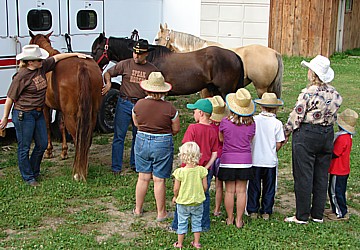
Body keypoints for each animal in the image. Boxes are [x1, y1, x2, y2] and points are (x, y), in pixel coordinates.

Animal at [29, 31, 103, 181]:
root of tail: (82, 66)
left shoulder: (45, 106)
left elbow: (47, 126)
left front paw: (49, 151)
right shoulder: (61, 110)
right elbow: (61, 126)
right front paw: (64, 152)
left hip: (72, 115)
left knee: (76, 137)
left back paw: (78, 173)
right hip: (92, 114)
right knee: (86, 139)